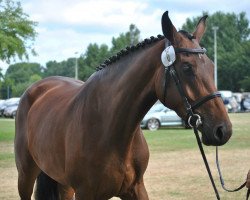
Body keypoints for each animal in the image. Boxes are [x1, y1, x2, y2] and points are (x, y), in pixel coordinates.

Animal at [14, 11, 231, 200]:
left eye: (212, 66)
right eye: (187, 67)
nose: (223, 130)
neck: (109, 128)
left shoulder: (136, 189)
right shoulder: (86, 193)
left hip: (63, 183)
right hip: (25, 175)